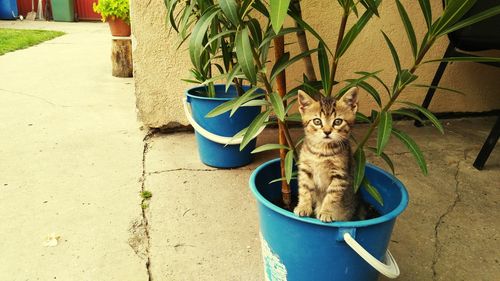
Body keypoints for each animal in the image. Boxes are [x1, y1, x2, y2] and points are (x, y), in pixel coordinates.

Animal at [292, 86, 362, 222]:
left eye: (338, 121)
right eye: (317, 121)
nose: (327, 131)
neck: (322, 150)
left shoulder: (340, 174)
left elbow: (332, 195)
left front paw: (326, 212)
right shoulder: (305, 168)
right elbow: (304, 188)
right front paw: (303, 206)